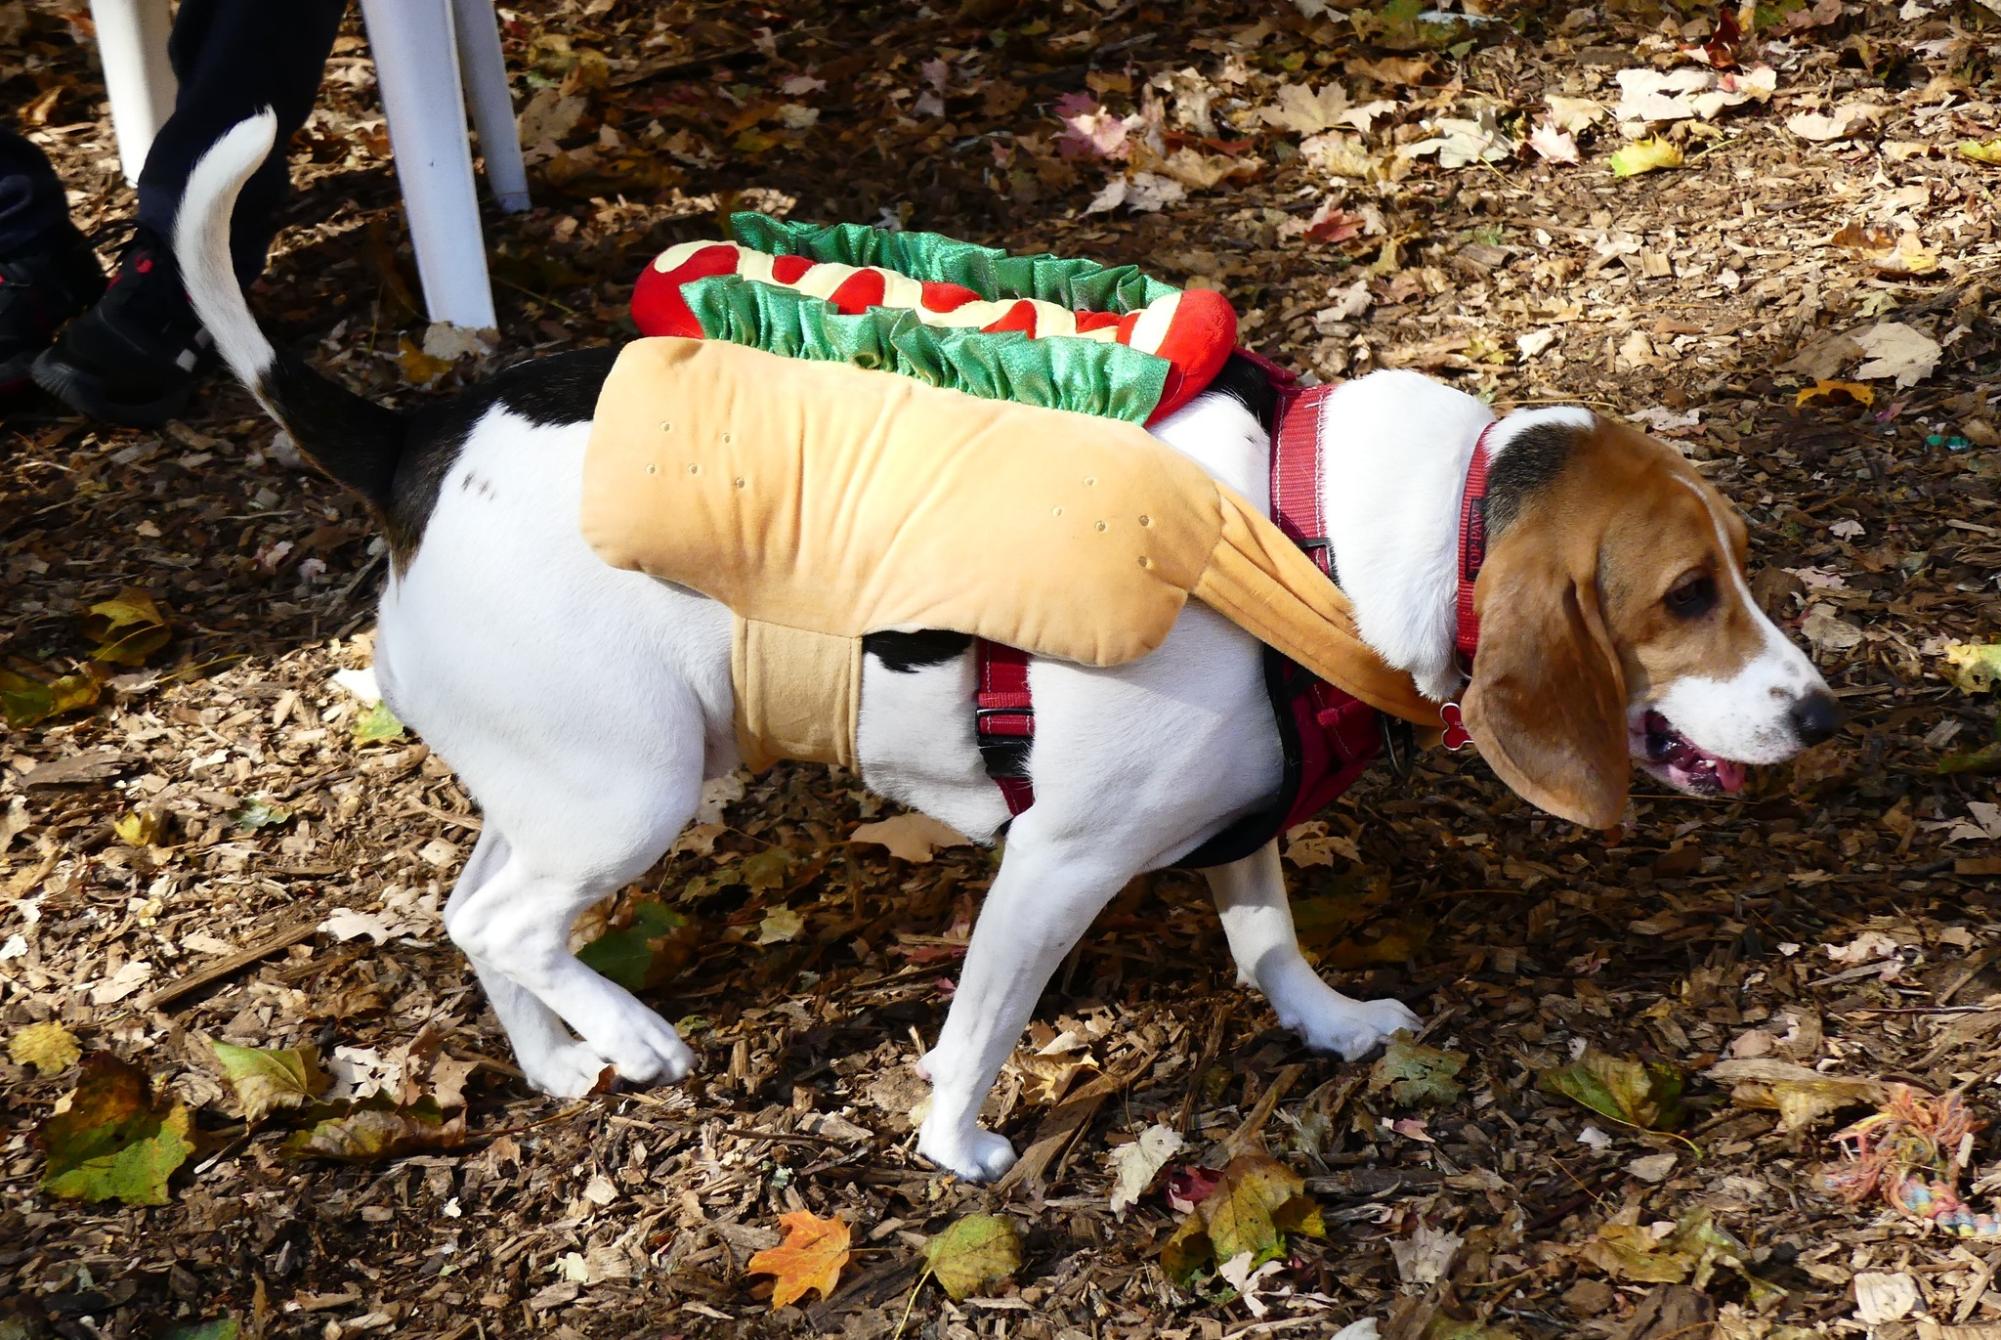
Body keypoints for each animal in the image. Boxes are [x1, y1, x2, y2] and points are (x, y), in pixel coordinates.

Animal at [180, 118, 1832, 1184]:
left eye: (1735, 567)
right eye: (1686, 595)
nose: (1819, 715)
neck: (1323, 527)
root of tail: (411, 438)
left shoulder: (1236, 812)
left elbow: (1266, 934)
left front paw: (1324, 1021)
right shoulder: (1057, 862)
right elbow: (980, 1028)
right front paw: (955, 1142)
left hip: (560, 779)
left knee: (472, 913)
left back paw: (553, 1060)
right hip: (635, 786)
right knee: (511, 923)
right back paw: (636, 1037)